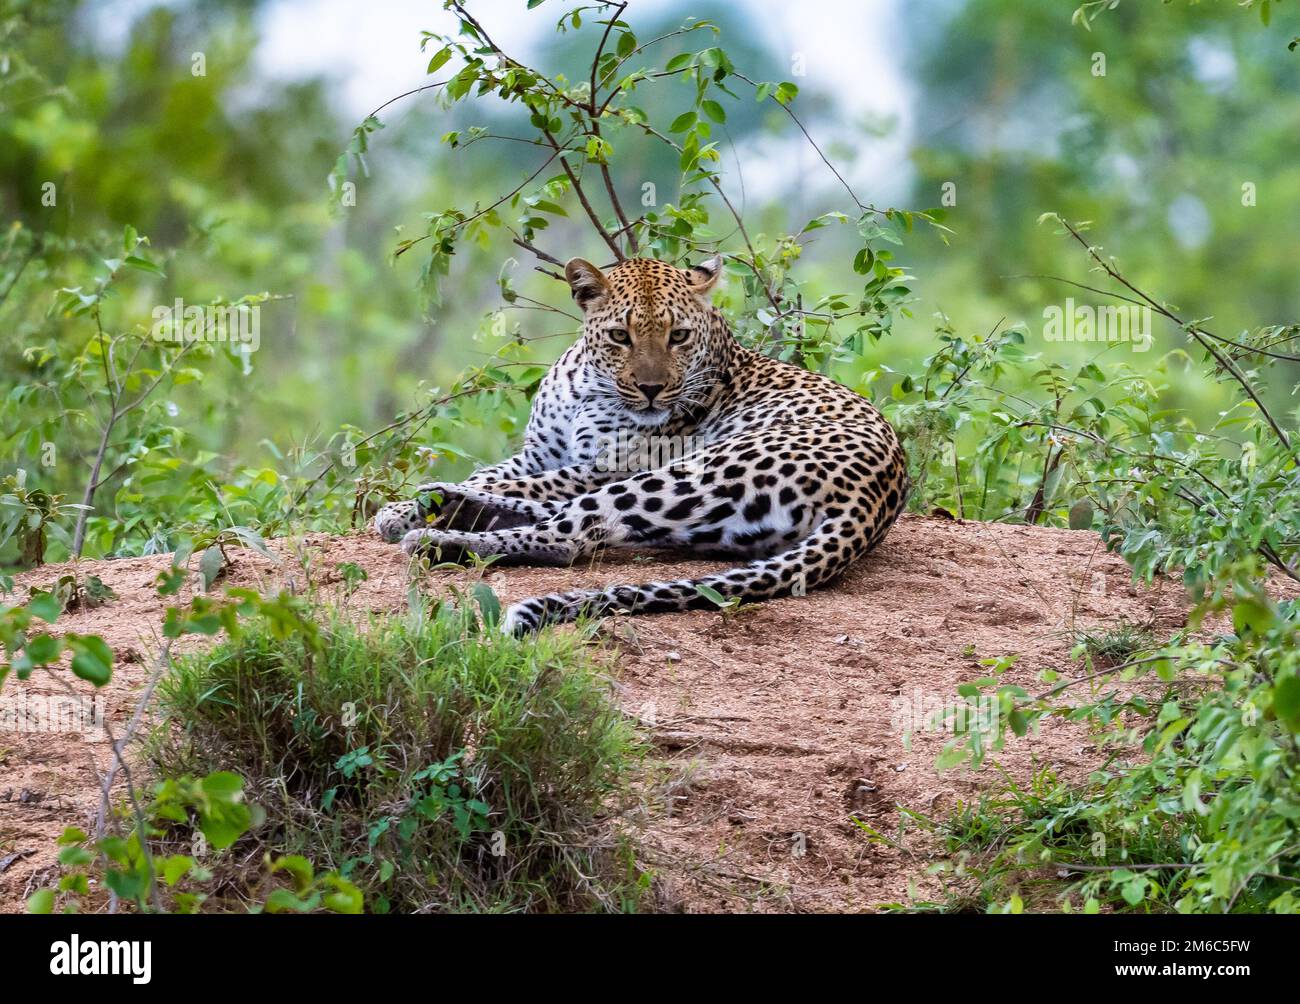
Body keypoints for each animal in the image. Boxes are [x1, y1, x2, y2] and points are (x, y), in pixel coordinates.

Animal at [374, 253, 910, 635]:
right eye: (620, 335)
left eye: (679, 336)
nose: (652, 389)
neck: (587, 385)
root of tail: (874, 499)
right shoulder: (539, 453)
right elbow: (495, 475)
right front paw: (403, 508)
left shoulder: (605, 465)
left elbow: (527, 487)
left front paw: (410, 514)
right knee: (571, 520)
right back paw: (445, 504)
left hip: (692, 470)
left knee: (569, 535)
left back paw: (438, 538)